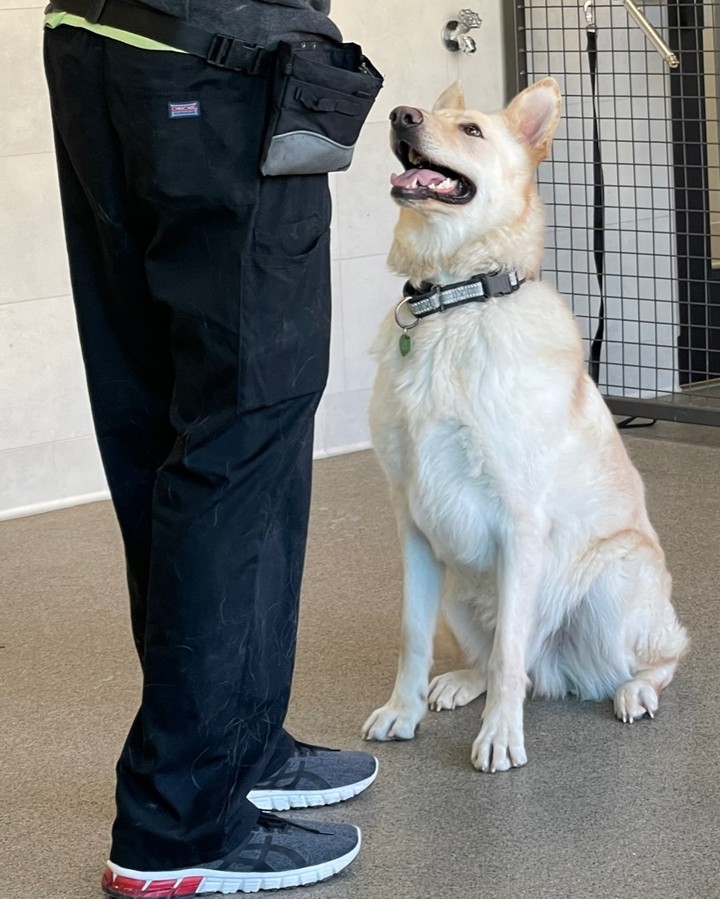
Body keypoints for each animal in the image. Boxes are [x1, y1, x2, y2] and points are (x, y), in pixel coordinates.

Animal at [362, 79, 688, 772]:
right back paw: (464, 681)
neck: (453, 304)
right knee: (500, 660)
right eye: (421, 115)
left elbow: (510, 654)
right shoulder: (412, 524)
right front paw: (403, 713)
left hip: (613, 580)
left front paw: (500, 738)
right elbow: (413, 635)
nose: (401, 114)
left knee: (647, 657)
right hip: (457, 585)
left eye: (472, 131)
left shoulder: (520, 521)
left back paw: (636, 690)